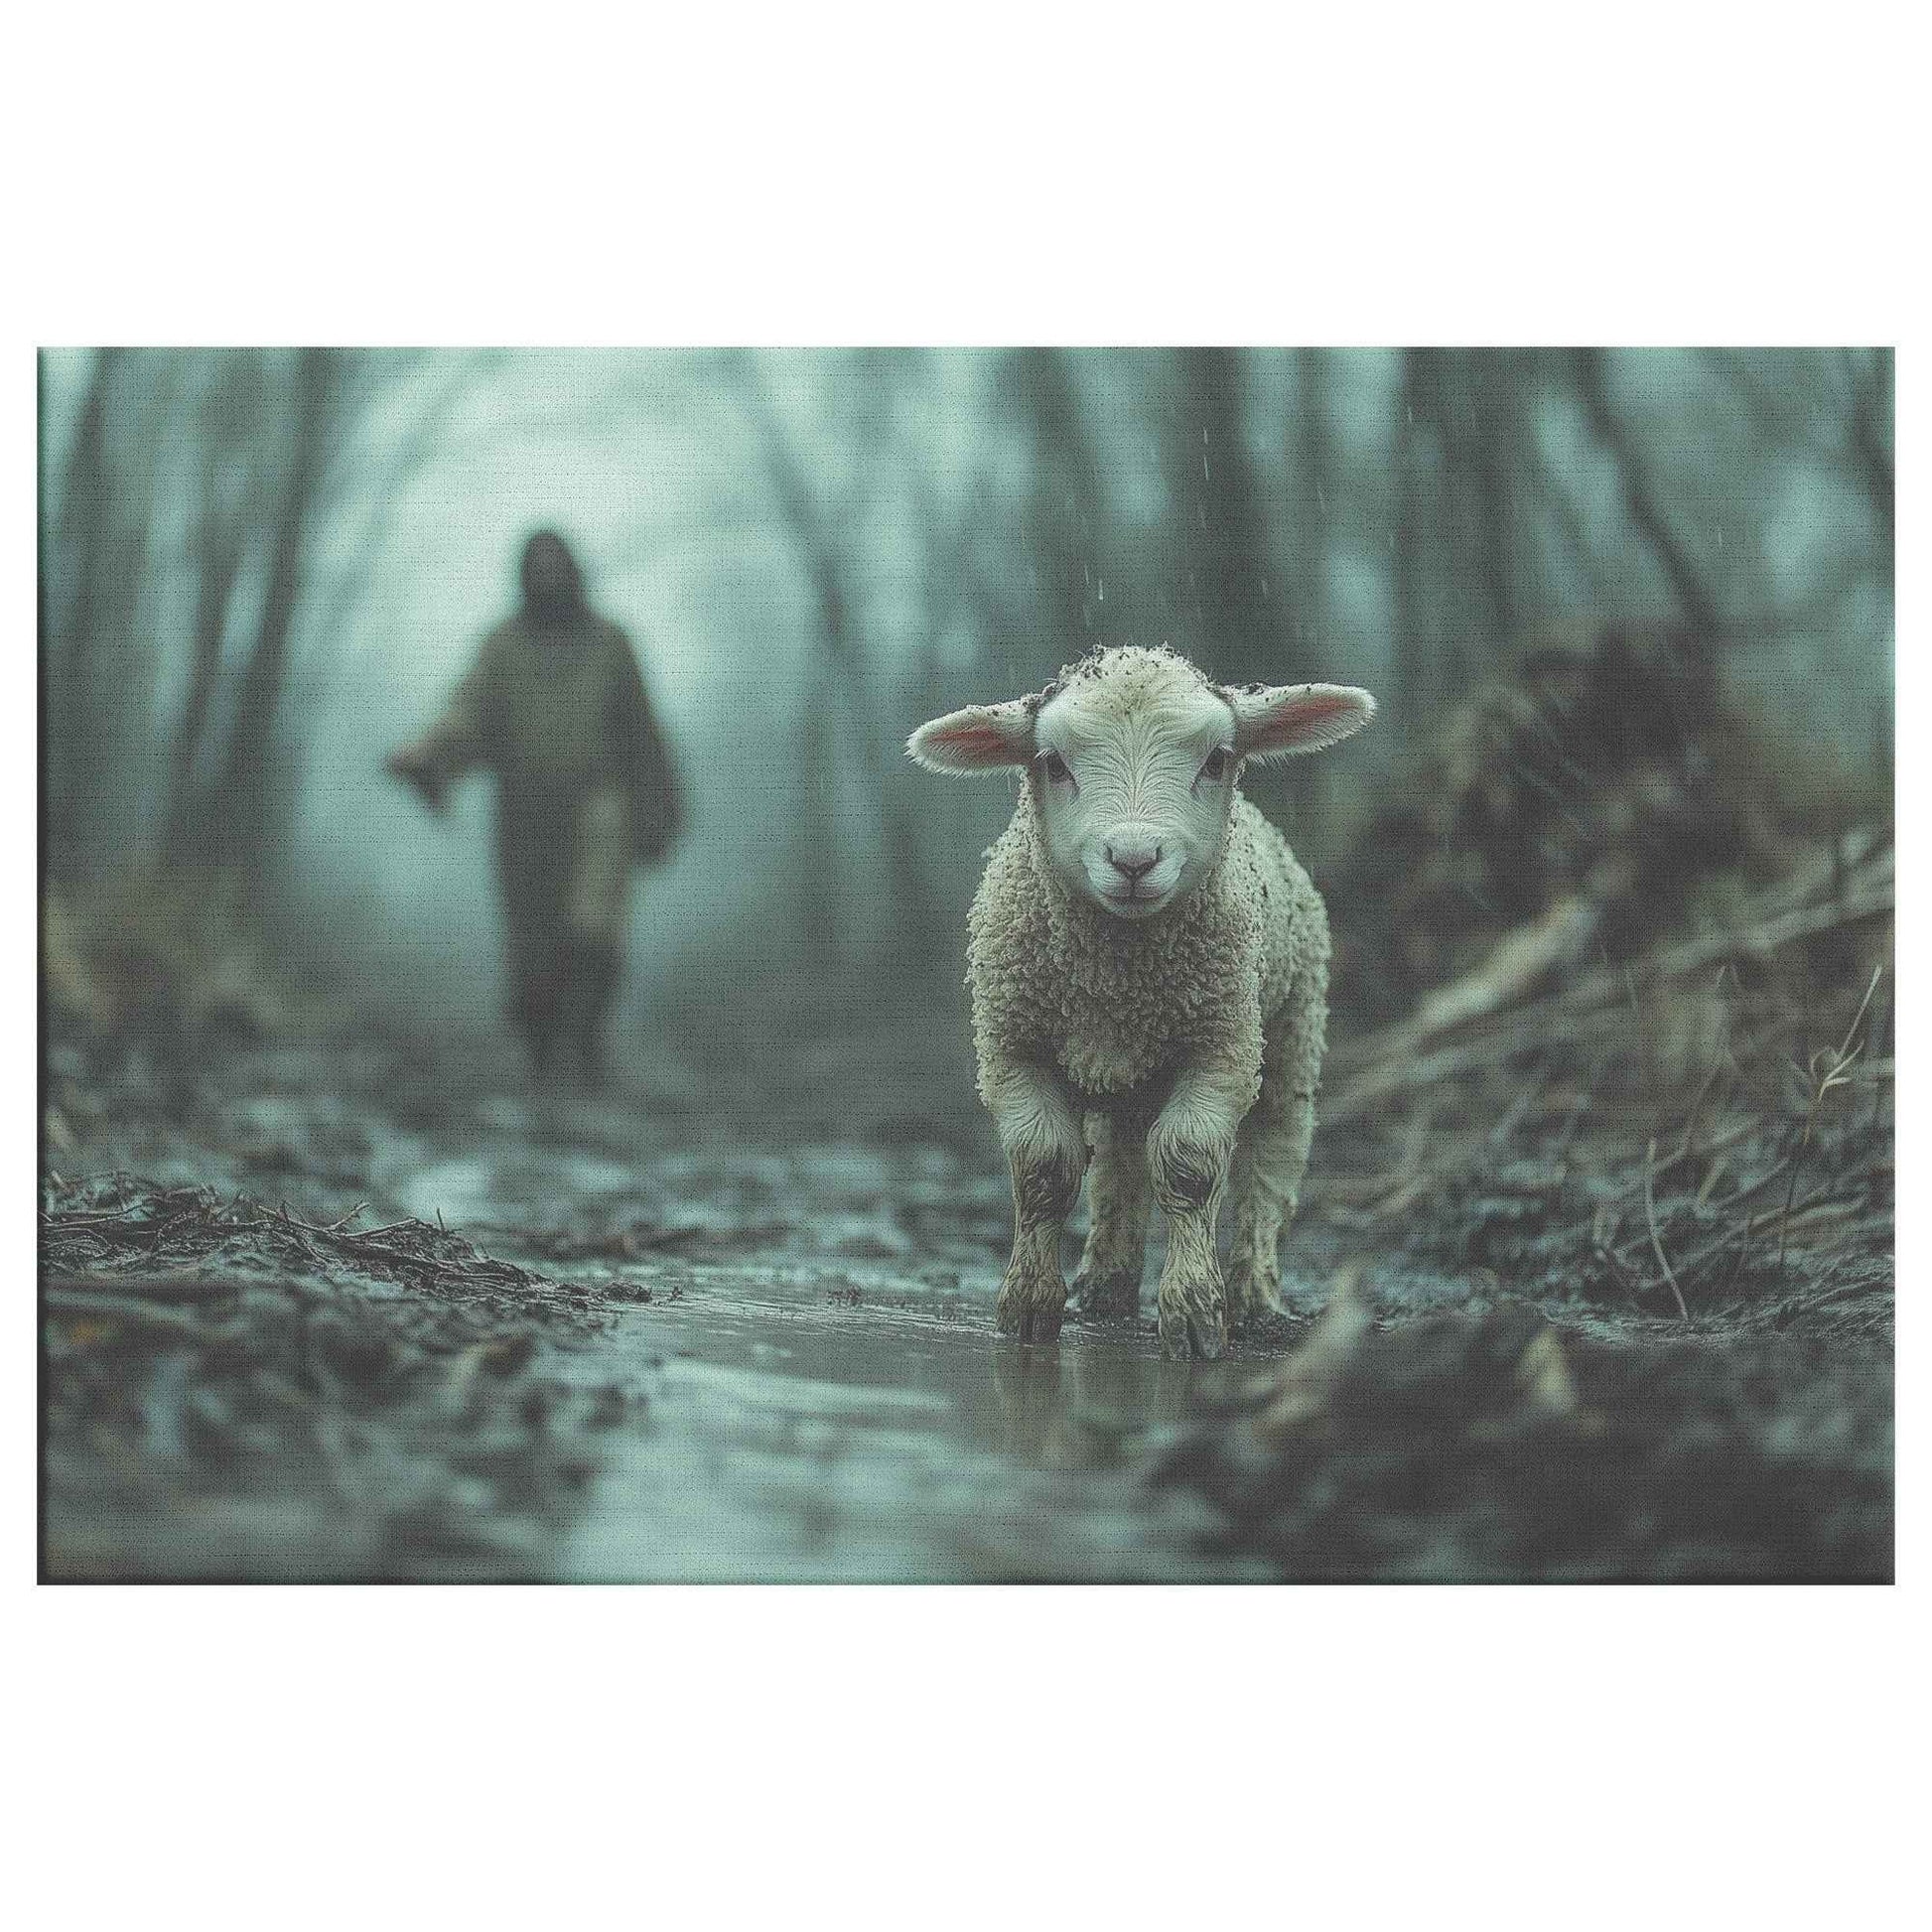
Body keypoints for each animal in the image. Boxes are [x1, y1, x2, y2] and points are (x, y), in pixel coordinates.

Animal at [909, 644, 1376, 1360]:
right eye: (1053, 762)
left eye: (1217, 758)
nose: (1133, 859)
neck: (1118, 983)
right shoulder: (1012, 1048)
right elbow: (1044, 1168)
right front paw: (1029, 1308)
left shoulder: (1222, 1050)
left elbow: (1188, 1165)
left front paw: (1194, 1312)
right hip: (1129, 1082)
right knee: (1121, 1163)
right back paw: (1106, 1288)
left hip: (1293, 1029)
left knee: (1271, 1160)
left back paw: (1254, 1296)